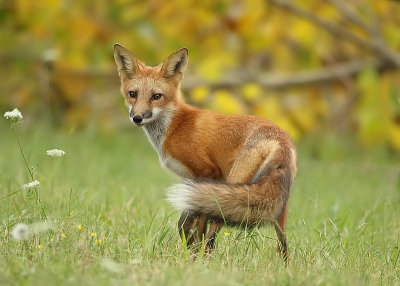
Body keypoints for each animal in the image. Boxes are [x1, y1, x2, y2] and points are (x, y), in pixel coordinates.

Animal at [112, 44, 296, 262]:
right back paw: (283, 267)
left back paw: (205, 259)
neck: (174, 126)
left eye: (156, 96)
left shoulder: (207, 173)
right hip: (278, 205)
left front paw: (192, 255)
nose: (137, 118)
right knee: (283, 243)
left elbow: (194, 224)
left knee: (214, 230)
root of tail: (280, 138)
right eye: (133, 93)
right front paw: (190, 250)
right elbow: (191, 223)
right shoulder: (194, 183)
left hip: (234, 186)